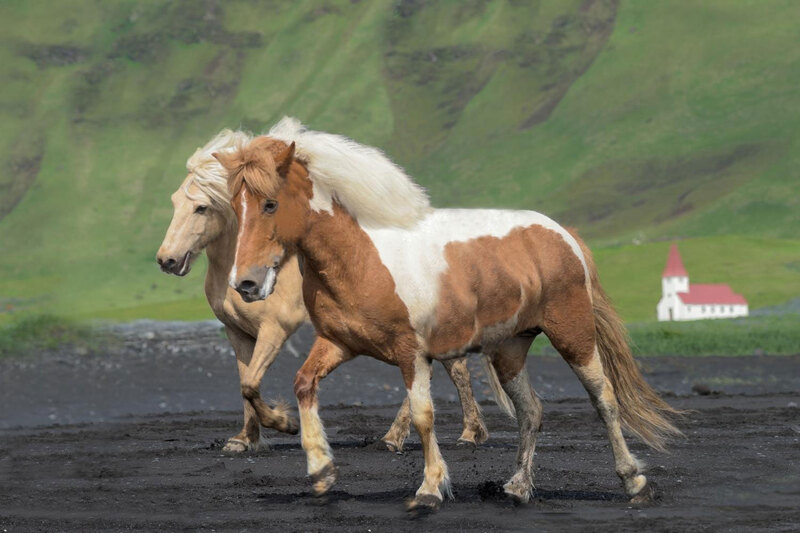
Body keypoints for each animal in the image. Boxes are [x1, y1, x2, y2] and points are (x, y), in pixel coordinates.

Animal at [155, 129, 488, 453]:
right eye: (173, 202)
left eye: (201, 208)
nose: (166, 259)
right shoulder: (237, 333)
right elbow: (245, 384)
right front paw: (244, 439)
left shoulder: (275, 329)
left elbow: (250, 383)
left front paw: (284, 423)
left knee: (452, 368)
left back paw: (459, 434)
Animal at [213, 117, 683, 511]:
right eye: (236, 206)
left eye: (270, 204)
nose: (246, 284)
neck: (362, 257)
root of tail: (562, 234)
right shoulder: (338, 343)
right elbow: (299, 384)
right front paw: (316, 462)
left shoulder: (412, 353)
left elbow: (424, 416)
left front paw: (430, 489)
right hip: (510, 349)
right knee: (531, 411)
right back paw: (517, 488)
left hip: (574, 334)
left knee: (604, 399)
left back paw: (633, 483)